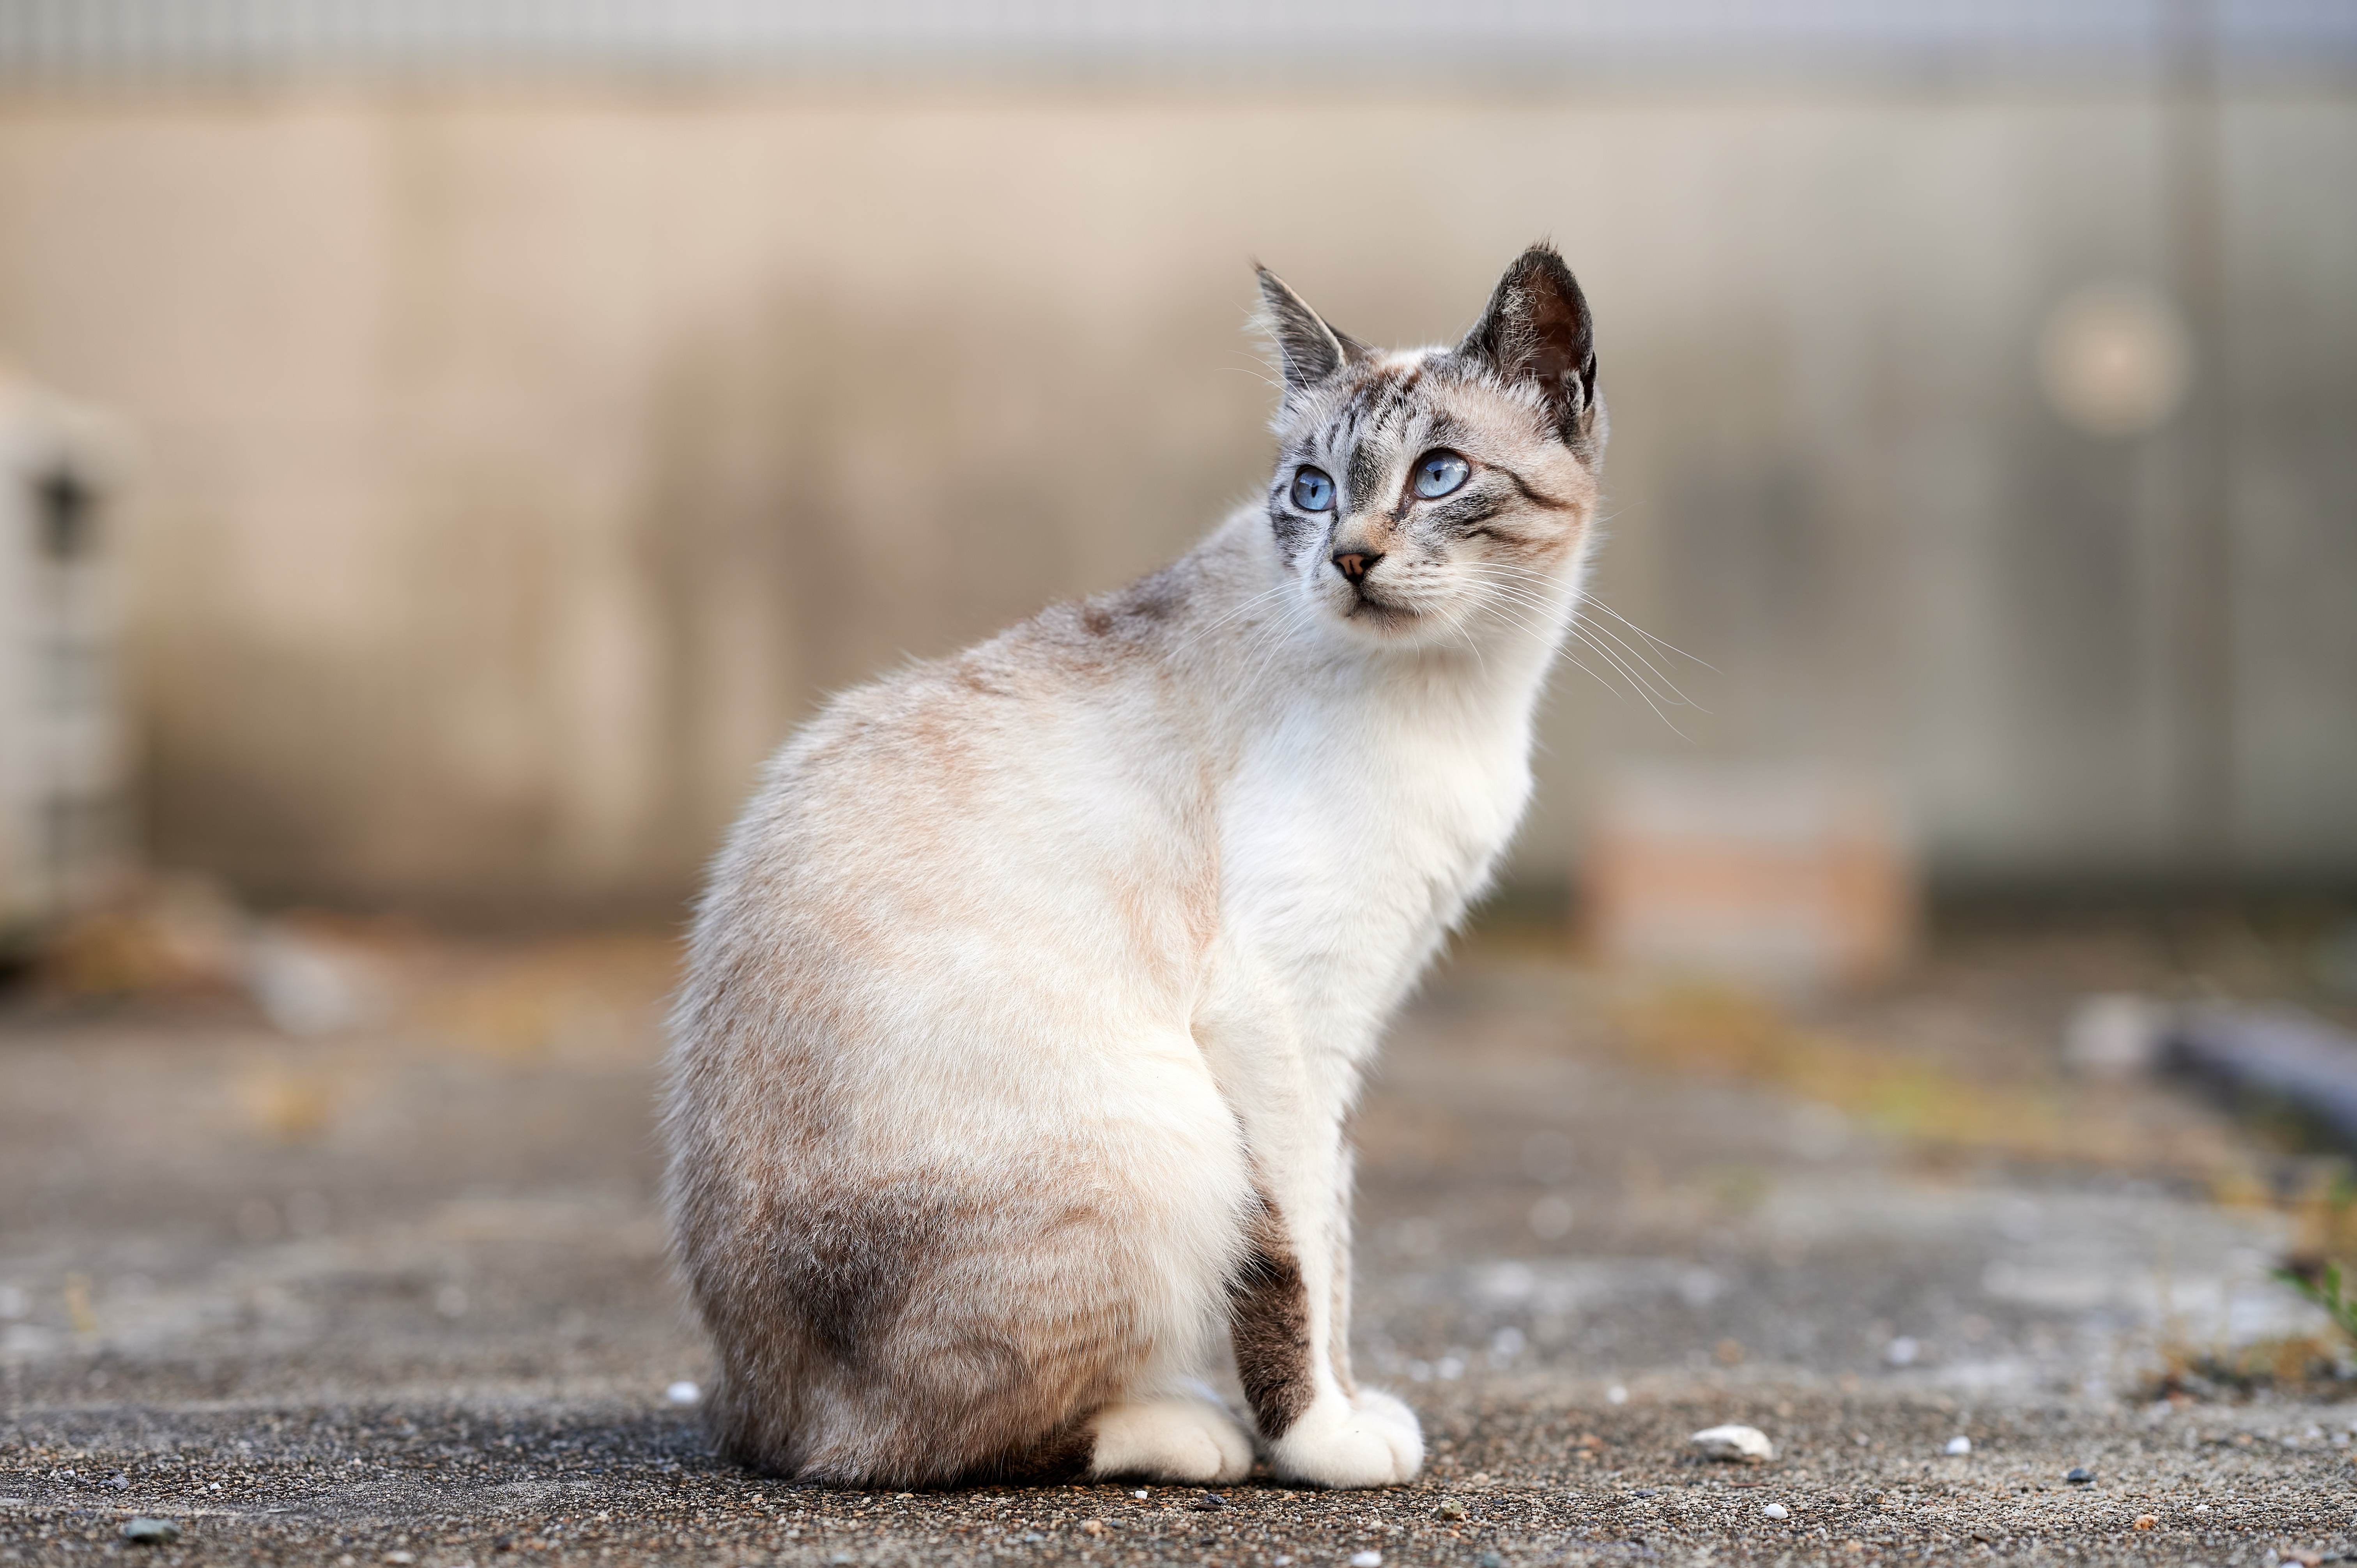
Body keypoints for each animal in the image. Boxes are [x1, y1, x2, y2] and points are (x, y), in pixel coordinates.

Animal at [674, 242, 1612, 1481]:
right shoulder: (1274, 1016)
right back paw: (1179, 1425)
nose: (1349, 558)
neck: (1462, 696)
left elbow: (1337, 1242)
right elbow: (1298, 1260)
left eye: (1439, 474)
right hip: (1170, 1133)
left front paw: (1354, 1404)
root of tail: (746, 1404)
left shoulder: (1343, 1029)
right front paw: (1319, 1440)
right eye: (1311, 490)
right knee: (913, 1442)